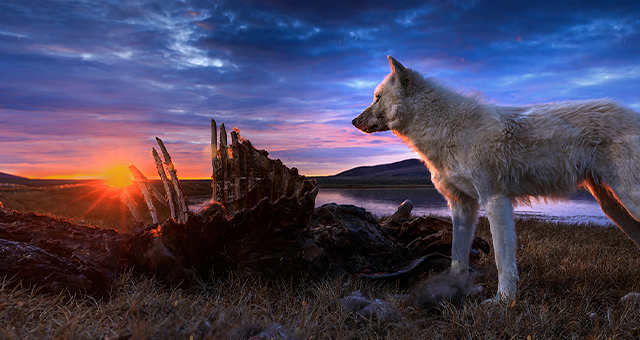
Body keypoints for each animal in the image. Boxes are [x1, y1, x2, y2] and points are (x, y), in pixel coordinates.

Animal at [352, 55, 640, 302]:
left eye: (377, 98)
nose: (354, 121)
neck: (445, 129)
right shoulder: (461, 205)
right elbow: (457, 255)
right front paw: (452, 289)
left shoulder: (495, 200)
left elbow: (502, 259)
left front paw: (503, 301)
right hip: (613, 207)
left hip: (627, 201)